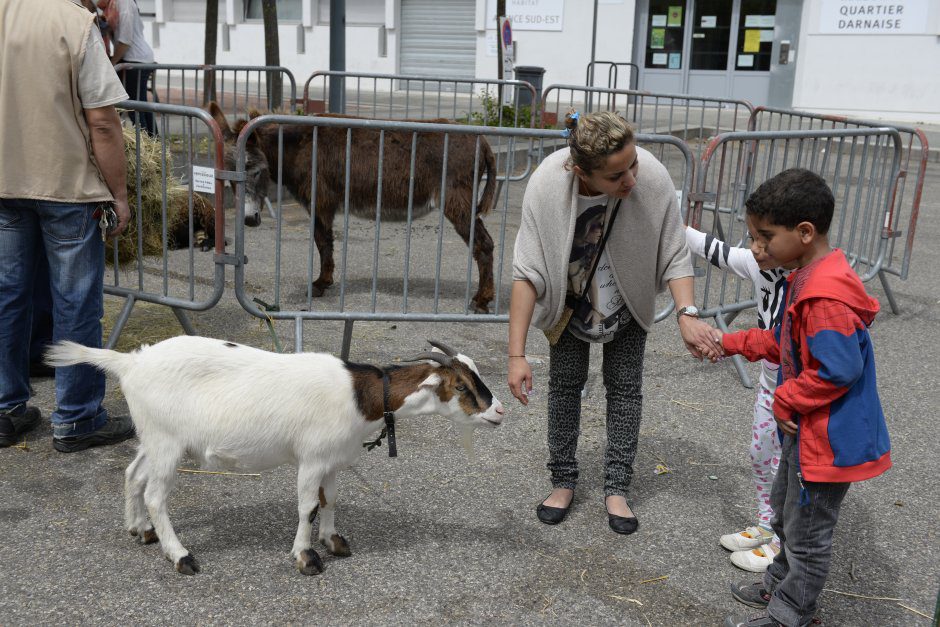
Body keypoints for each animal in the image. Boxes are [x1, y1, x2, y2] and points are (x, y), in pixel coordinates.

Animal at [45, 336, 504, 576]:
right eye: (461, 386)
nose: (499, 410)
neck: (360, 395)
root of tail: (130, 363)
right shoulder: (312, 458)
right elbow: (306, 506)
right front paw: (306, 557)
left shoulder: (331, 458)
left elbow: (329, 501)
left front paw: (333, 540)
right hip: (168, 443)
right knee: (156, 495)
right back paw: (181, 556)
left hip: (154, 438)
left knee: (132, 474)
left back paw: (140, 530)